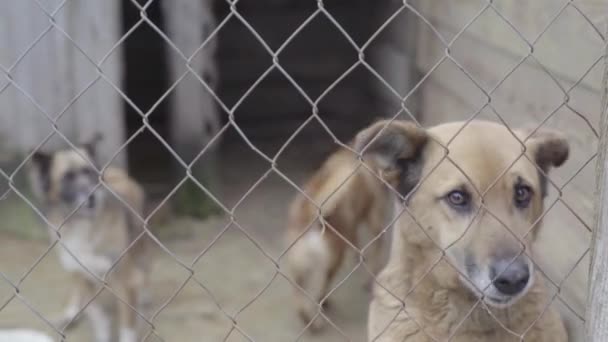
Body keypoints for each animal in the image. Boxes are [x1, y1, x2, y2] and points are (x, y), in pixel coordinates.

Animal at [28, 136, 152, 342]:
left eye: (88, 172)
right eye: (67, 177)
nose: (92, 196)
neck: (83, 225)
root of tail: (116, 174)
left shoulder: (123, 281)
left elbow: (126, 327)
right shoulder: (82, 277)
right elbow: (99, 320)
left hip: (141, 248)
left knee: (143, 272)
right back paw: (71, 312)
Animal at [284, 145, 390, 332]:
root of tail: (310, 213)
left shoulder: (352, 226)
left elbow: (357, 243)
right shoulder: (374, 219)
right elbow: (375, 250)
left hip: (300, 265)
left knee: (299, 297)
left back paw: (309, 321)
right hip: (334, 257)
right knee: (322, 287)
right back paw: (323, 304)